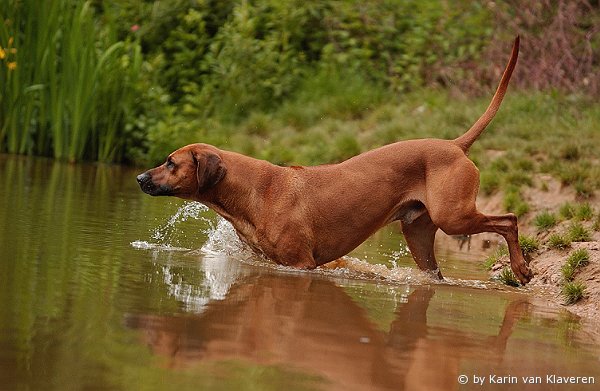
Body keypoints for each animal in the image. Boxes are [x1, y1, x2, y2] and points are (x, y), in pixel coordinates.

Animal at [138, 36, 532, 284]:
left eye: (170, 163)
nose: (141, 178)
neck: (252, 191)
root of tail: (454, 145)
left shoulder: (301, 264)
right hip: (419, 235)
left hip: (454, 216)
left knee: (509, 219)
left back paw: (521, 269)